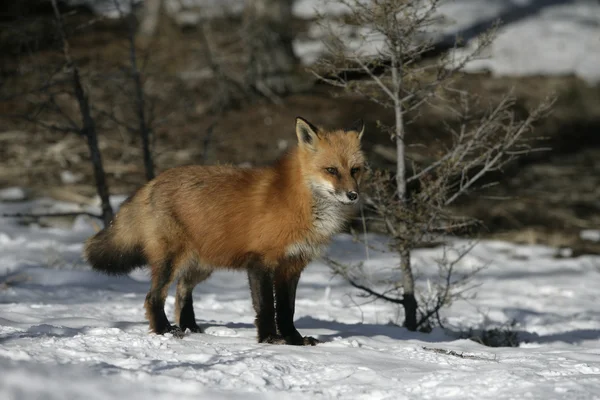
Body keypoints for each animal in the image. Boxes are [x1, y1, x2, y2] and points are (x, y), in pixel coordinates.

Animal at [84, 117, 366, 346]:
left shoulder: (292, 265)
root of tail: (153, 181)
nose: (353, 195)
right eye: (331, 170)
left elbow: (287, 310)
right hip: (171, 261)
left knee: (182, 292)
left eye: (355, 170)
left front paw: (294, 340)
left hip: (201, 265)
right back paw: (165, 330)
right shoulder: (261, 262)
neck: (299, 203)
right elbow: (266, 306)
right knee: (153, 297)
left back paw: (190, 327)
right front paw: (269, 339)